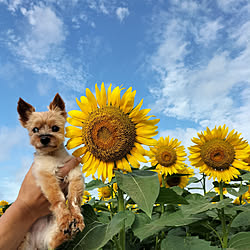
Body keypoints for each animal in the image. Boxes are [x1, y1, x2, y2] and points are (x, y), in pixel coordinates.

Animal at [16, 94, 85, 250]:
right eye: (35, 130)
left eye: (55, 128)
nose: (44, 138)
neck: (54, 156)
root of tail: (36, 244)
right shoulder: (46, 175)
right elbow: (58, 199)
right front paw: (65, 218)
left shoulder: (74, 174)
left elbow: (73, 199)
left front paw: (76, 218)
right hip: (24, 240)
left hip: (51, 232)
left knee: (53, 242)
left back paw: (67, 232)